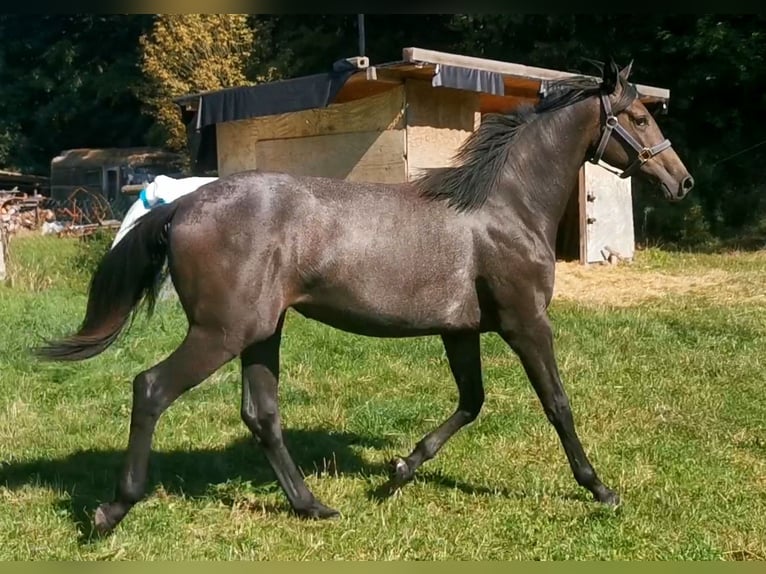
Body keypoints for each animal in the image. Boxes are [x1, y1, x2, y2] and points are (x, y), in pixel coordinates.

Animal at [36, 59, 694, 534]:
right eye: (638, 117)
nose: (682, 181)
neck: (502, 207)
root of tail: (183, 206)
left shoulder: (460, 330)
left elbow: (472, 402)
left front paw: (398, 471)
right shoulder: (526, 322)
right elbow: (557, 404)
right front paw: (600, 488)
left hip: (261, 331)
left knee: (261, 414)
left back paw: (313, 506)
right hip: (220, 333)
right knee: (151, 388)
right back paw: (111, 511)